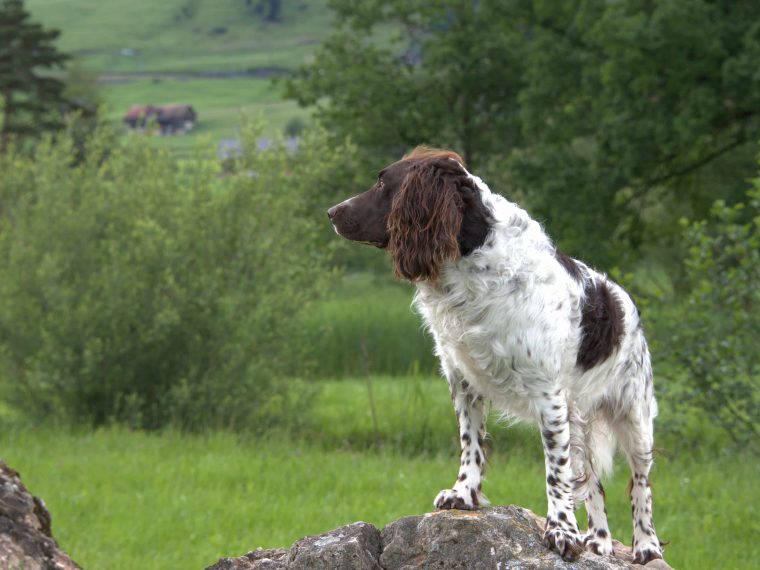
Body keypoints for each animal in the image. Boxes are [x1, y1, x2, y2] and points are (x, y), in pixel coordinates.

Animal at [326, 146, 664, 564]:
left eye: (381, 184)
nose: (332, 212)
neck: (470, 262)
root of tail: (627, 302)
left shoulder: (549, 394)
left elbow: (556, 472)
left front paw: (562, 531)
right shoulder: (463, 378)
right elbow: (471, 443)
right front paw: (463, 494)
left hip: (634, 416)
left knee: (640, 485)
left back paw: (646, 546)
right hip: (582, 417)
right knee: (593, 481)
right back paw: (598, 541)